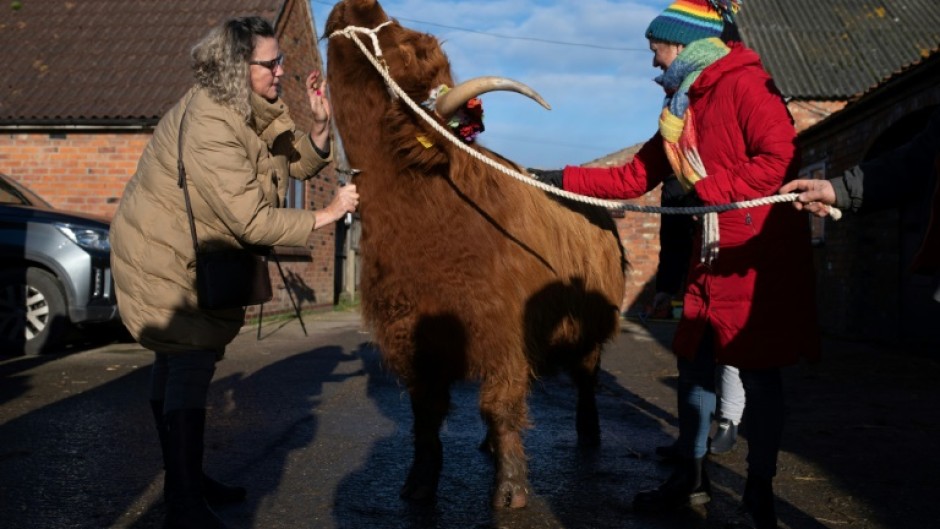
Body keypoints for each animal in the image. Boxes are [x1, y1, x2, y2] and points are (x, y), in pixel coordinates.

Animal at [326, 0, 628, 508]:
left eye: (407, 44)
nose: (355, 5)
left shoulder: (504, 333)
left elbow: (500, 405)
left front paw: (510, 489)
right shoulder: (412, 340)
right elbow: (426, 417)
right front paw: (419, 483)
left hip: (590, 328)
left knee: (587, 377)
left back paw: (589, 434)